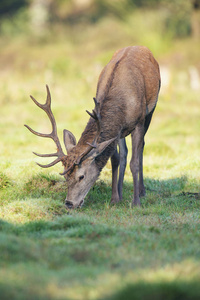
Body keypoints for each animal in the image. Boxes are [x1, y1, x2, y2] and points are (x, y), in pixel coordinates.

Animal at [25, 45, 160, 209]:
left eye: (81, 176)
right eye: (65, 175)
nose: (69, 203)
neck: (121, 105)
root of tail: (140, 46)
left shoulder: (139, 121)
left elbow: (134, 162)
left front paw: (136, 203)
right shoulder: (117, 130)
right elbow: (115, 159)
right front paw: (115, 199)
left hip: (150, 110)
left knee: (141, 148)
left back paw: (141, 192)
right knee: (124, 154)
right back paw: (121, 192)